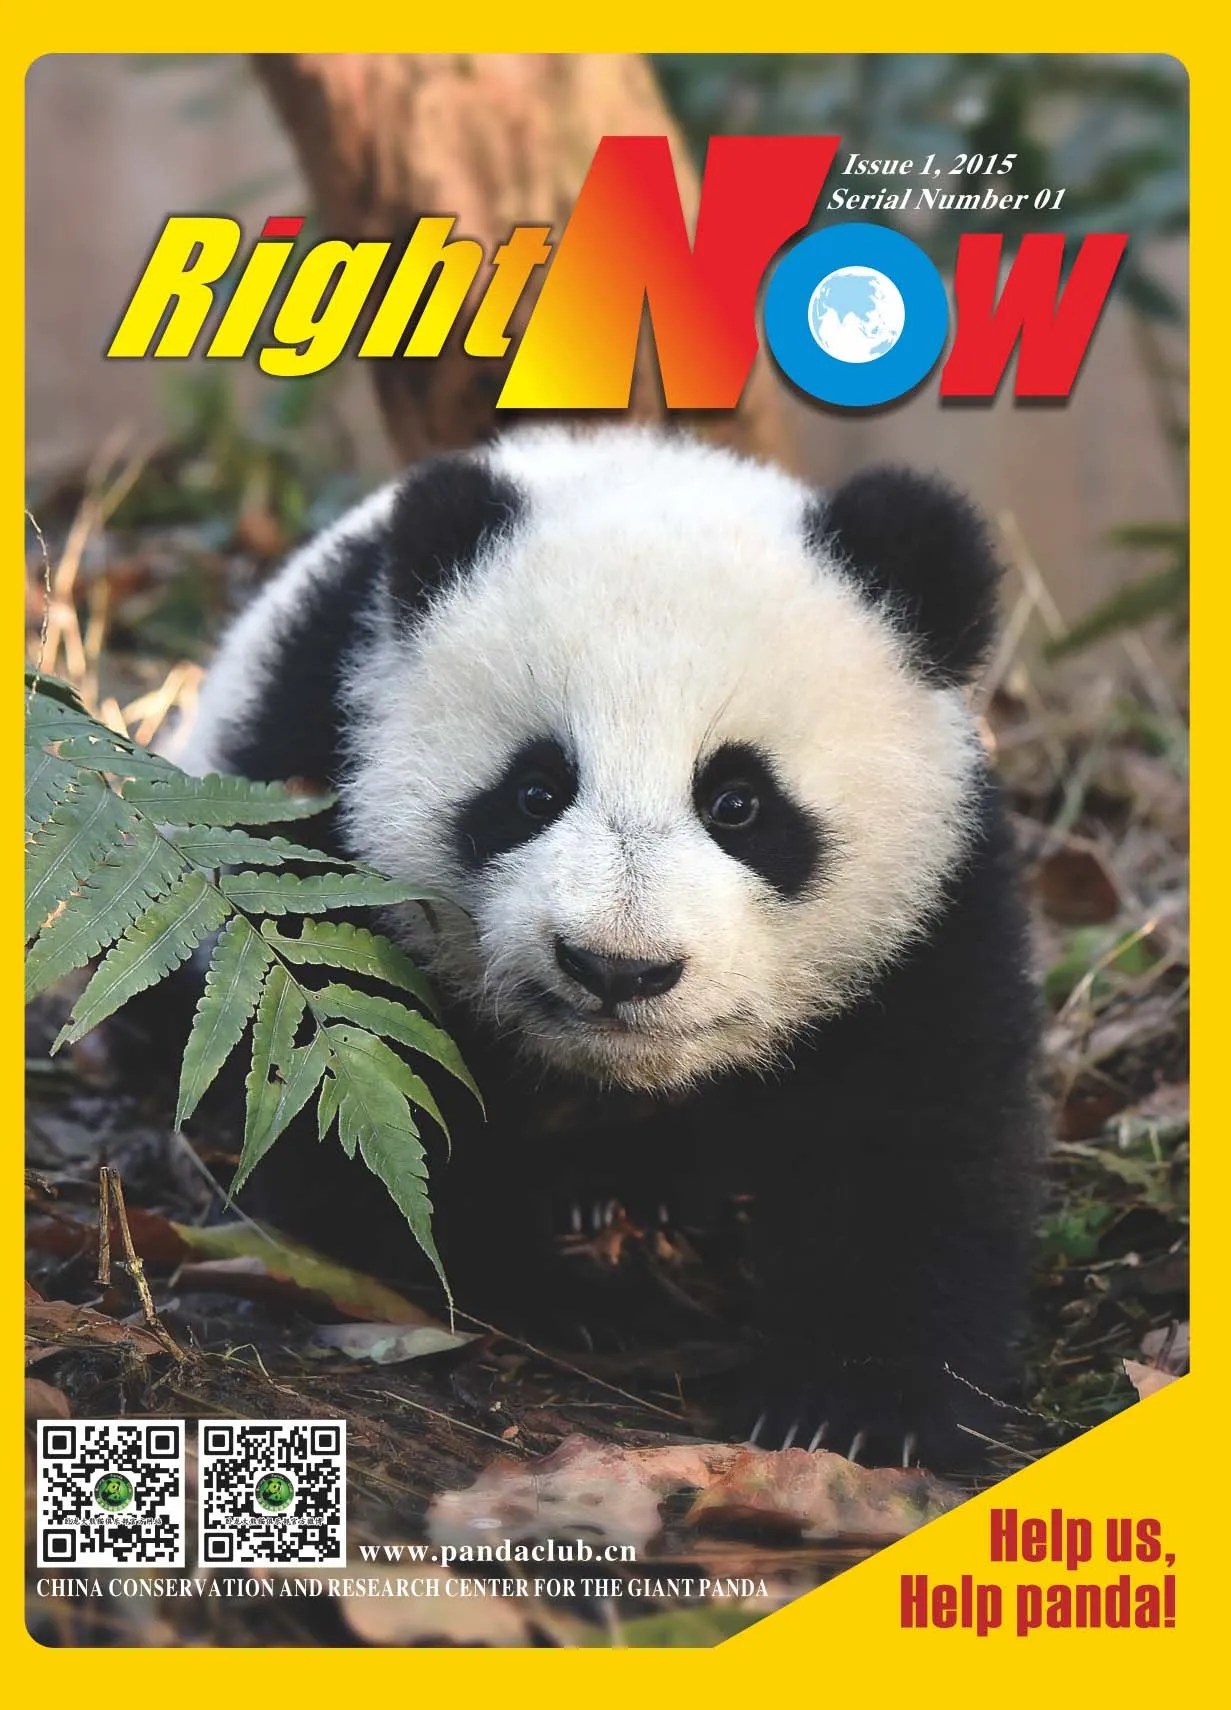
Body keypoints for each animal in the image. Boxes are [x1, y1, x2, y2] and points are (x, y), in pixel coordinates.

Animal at [180, 425, 1044, 1470]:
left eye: (738, 802)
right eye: (534, 789)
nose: (615, 968)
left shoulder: (928, 902)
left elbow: (913, 1132)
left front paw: (851, 1412)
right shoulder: (309, 792)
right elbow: (356, 1105)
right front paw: (574, 1295)